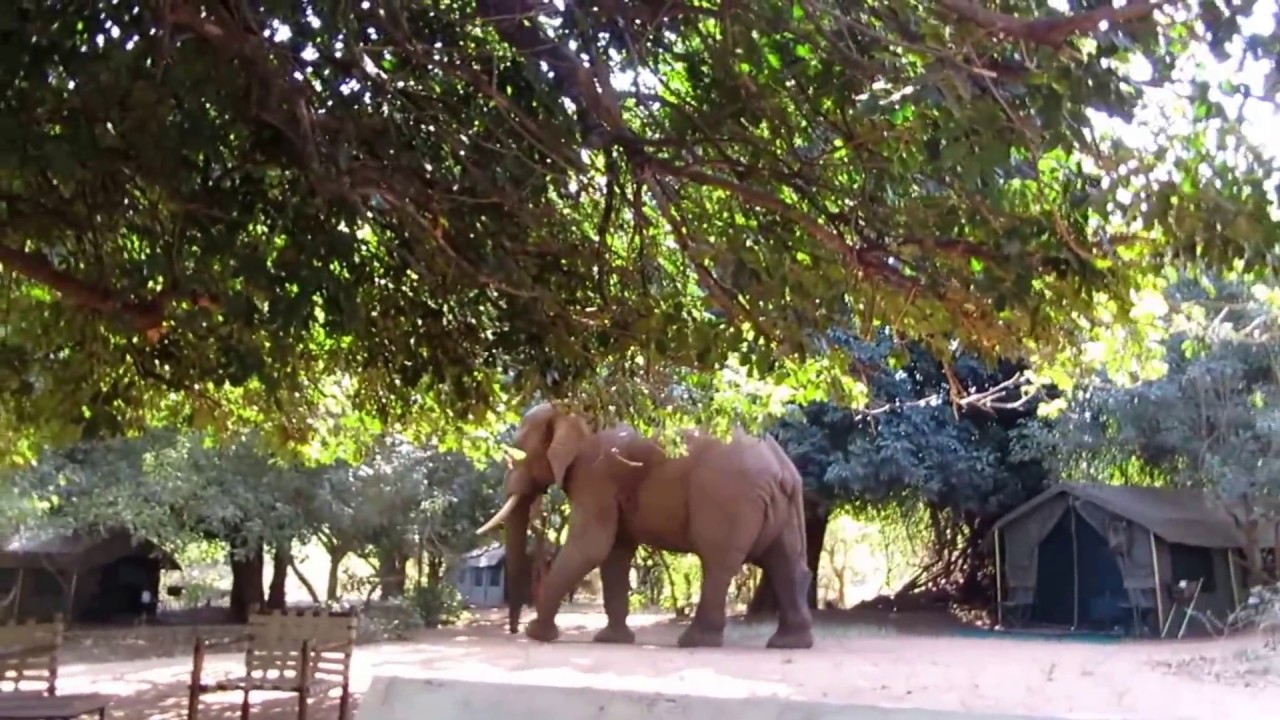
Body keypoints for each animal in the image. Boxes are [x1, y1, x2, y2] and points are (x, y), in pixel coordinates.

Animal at [476, 402, 814, 649]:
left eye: (518, 453)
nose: (513, 630)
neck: (570, 409)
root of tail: (782, 470)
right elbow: (615, 552)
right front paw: (611, 640)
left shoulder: (595, 472)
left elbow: (591, 546)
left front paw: (537, 635)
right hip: (783, 506)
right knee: (786, 562)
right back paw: (789, 644)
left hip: (728, 497)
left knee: (718, 562)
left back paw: (695, 642)